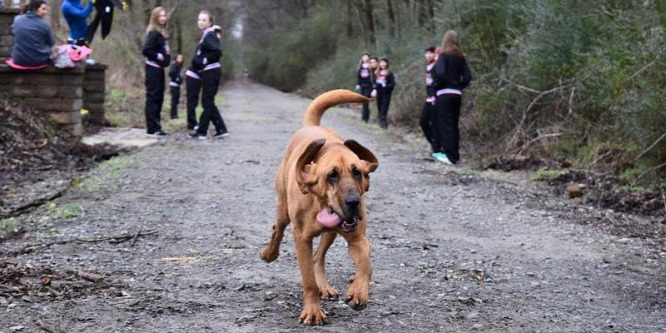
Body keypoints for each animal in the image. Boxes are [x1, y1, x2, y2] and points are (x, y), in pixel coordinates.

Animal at [258, 89, 376, 324]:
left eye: (357, 172)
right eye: (332, 175)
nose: (353, 203)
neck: (319, 203)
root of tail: (311, 126)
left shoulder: (357, 238)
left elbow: (366, 263)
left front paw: (358, 293)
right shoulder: (301, 238)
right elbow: (308, 280)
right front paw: (312, 311)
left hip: (330, 233)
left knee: (318, 258)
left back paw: (325, 286)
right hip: (283, 210)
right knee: (278, 229)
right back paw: (269, 254)